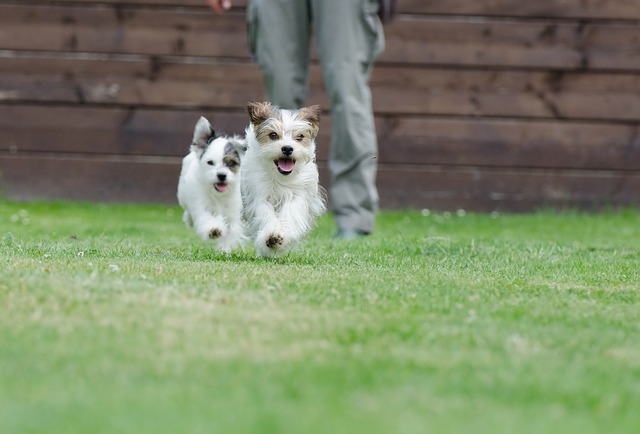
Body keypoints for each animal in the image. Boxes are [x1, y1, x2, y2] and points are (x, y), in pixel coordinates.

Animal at [178, 117, 248, 253]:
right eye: (210, 162)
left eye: (231, 163)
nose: (221, 175)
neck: (218, 195)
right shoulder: (201, 205)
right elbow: (205, 217)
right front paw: (214, 229)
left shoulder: (233, 212)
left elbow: (230, 230)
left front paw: (224, 249)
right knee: (188, 210)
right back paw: (188, 219)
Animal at [242, 101, 328, 258]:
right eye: (273, 135)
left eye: (299, 137)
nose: (287, 148)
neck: (280, 177)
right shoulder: (260, 195)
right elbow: (266, 214)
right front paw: (271, 236)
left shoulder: (298, 195)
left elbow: (290, 213)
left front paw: (281, 236)